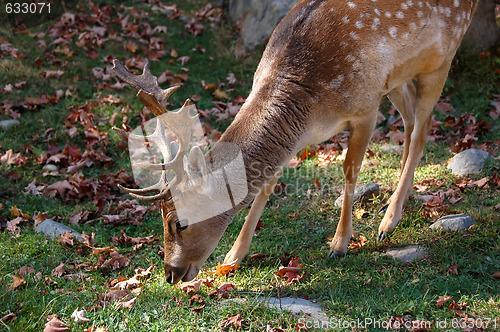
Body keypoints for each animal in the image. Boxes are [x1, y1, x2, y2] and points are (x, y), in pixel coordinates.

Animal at [112, 0, 476, 282]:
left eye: (180, 223)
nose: (170, 274)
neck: (309, 105)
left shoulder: (365, 108)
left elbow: (349, 172)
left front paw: (339, 245)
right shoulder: (301, 134)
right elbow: (267, 184)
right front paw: (234, 255)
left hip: (442, 56)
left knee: (421, 129)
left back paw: (389, 221)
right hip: (396, 77)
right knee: (412, 120)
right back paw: (397, 201)